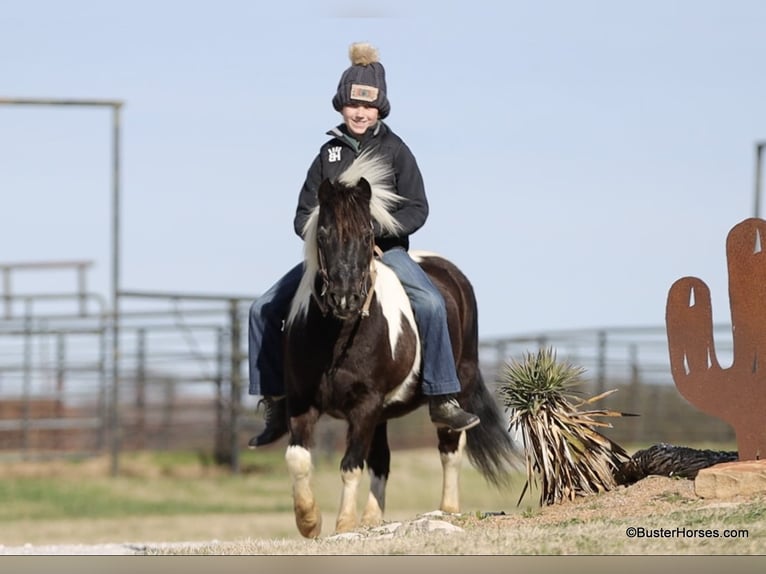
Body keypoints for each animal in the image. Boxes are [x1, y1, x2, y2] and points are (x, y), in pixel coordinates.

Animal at [282, 151, 518, 538]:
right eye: (324, 233)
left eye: (367, 234)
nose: (345, 298)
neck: (338, 337)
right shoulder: (303, 402)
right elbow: (298, 458)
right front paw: (309, 521)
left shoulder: (365, 405)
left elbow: (350, 465)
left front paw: (344, 524)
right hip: (381, 413)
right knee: (382, 460)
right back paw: (372, 519)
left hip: (457, 384)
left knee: (450, 446)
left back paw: (447, 510)